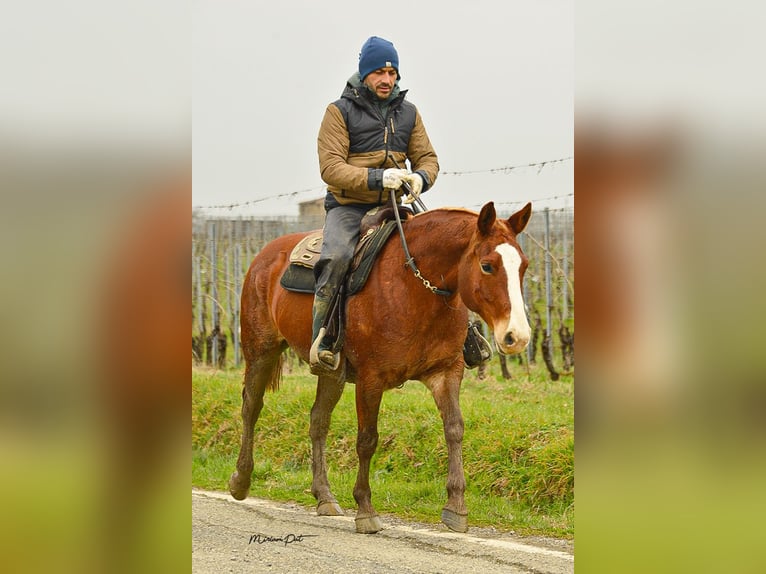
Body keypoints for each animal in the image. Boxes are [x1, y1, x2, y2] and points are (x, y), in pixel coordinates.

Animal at [230, 201, 536, 536]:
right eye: (487, 265)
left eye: (523, 266)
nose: (517, 336)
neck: (414, 287)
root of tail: (266, 254)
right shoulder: (370, 379)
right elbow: (367, 440)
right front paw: (365, 510)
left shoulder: (446, 372)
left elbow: (454, 429)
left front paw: (456, 506)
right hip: (260, 350)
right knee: (251, 407)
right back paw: (240, 481)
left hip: (331, 373)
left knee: (318, 421)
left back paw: (324, 496)